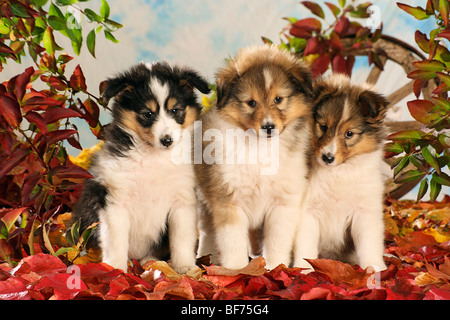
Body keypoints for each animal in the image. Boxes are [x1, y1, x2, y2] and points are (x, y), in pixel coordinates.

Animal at [73, 62, 211, 272]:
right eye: (148, 114)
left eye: (175, 111)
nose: (167, 141)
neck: (154, 157)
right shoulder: (115, 200)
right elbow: (116, 241)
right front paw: (116, 270)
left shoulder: (183, 200)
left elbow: (181, 239)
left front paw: (185, 268)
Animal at [195, 45, 314, 270]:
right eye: (251, 102)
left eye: (278, 99)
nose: (268, 127)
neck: (260, 147)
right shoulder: (229, 201)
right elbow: (233, 244)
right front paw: (237, 271)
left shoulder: (282, 204)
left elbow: (277, 242)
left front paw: (275, 268)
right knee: (207, 233)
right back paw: (207, 259)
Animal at [294, 74, 388, 272]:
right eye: (323, 126)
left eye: (349, 134)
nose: (327, 157)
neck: (338, 173)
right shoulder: (307, 211)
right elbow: (305, 244)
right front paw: (303, 269)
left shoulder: (364, 212)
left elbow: (369, 244)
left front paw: (376, 269)